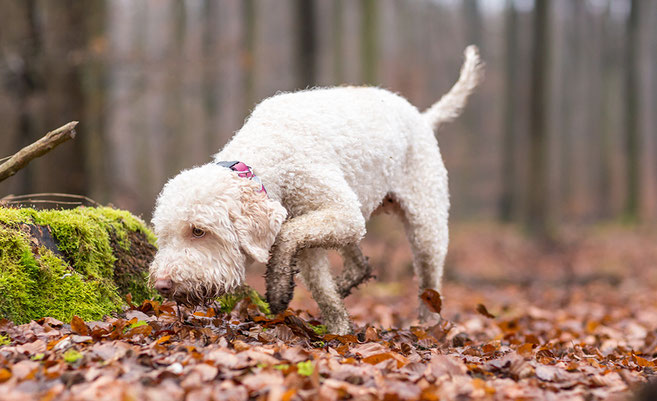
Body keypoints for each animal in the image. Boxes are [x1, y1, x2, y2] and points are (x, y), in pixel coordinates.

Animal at [151, 45, 484, 332]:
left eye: (198, 231)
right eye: (163, 236)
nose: (162, 285)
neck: (271, 153)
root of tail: (422, 118)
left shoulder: (340, 212)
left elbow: (285, 235)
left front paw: (277, 290)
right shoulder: (312, 229)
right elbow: (321, 285)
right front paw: (338, 330)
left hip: (425, 223)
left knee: (429, 282)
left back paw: (429, 324)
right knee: (359, 263)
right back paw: (347, 284)